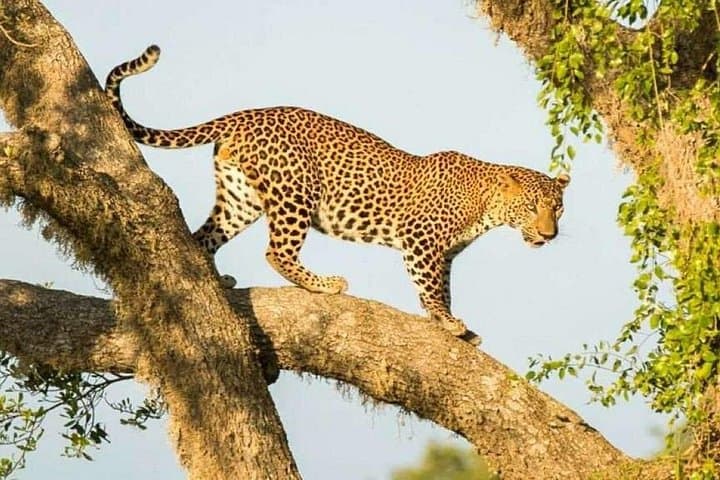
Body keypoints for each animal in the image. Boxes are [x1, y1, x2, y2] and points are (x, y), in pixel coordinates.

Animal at [105, 45, 570, 346]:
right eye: (533, 207)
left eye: (559, 210)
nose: (549, 236)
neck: (486, 206)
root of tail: (248, 114)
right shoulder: (421, 241)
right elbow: (430, 287)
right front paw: (447, 321)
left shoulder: (445, 253)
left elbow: (442, 286)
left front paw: (452, 324)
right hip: (295, 192)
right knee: (276, 252)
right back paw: (325, 284)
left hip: (240, 197)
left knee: (203, 239)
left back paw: (218, 280)